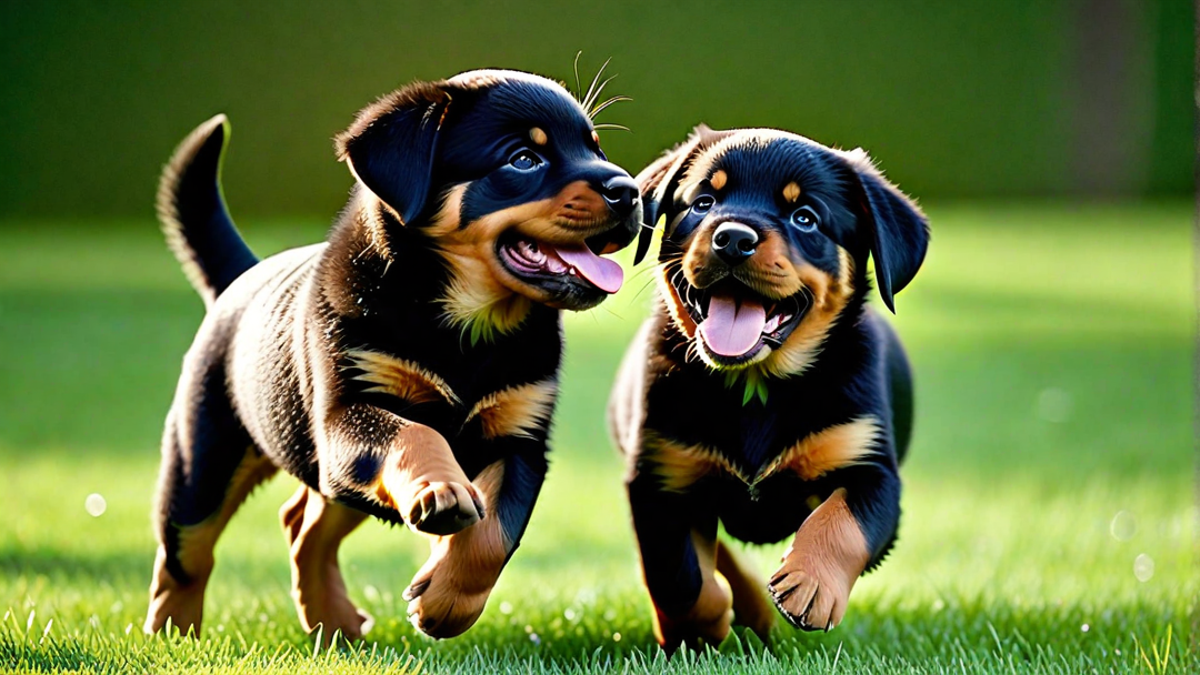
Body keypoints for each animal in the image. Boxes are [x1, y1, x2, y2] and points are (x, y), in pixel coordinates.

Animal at [609, 124, 926, 648]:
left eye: (805, 218)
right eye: (703, 202)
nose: (733, 238)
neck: (754, 386)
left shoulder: (871, 467)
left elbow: (842, 522)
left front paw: (811, 585)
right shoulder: (660, 476)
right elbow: (676, 575)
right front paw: (702, 624)